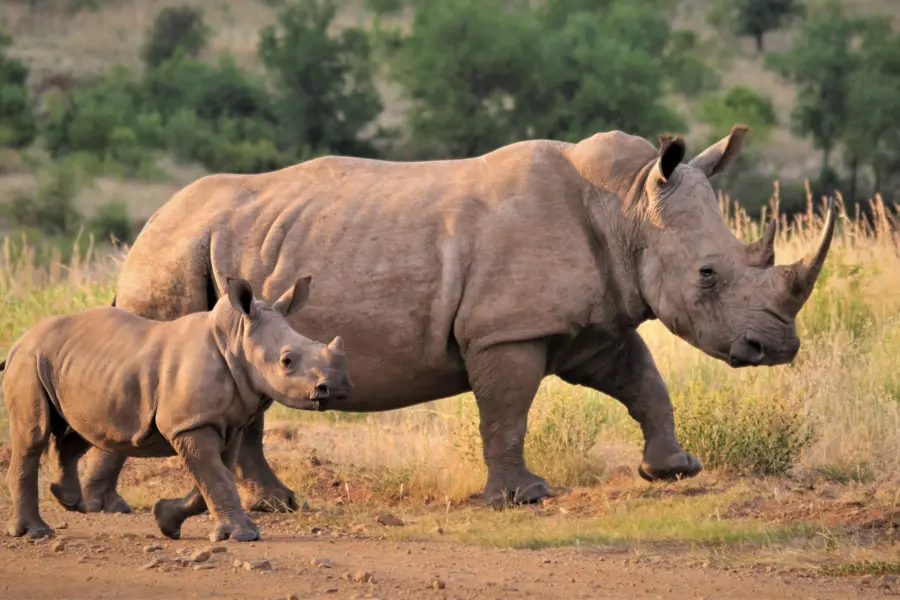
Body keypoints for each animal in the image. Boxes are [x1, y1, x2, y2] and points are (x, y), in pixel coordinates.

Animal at [2, 276, 352, 541]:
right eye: (286, 361)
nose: (337, 387)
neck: (236, 340)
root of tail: (20, 339)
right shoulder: (191, 423)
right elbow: (216, 476)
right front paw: (244, 535)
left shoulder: (226, 422)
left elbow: (214, 476)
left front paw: (165, 521)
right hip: (29, 360)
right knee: (34, 436)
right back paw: (36, 532)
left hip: (74, 365)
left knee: (79, 431)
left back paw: (68, 499)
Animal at [73, 124, 835, 514]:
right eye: (708, 274)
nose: (776, 346)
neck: (626, 206)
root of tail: (149, 224)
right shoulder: (506, 329)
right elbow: (507, 411)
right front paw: (521, 499)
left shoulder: (593, 324)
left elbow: (644, 382)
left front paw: (673, 470)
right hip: (173, 257)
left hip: (222, 253)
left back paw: (279, 506)